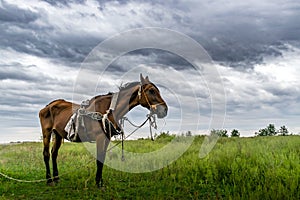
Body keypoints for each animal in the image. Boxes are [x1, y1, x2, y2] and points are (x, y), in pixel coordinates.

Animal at [37, 74, 168, 187]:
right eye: (151, 91)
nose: (165, 110)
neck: (108, 111)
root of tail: (48, 106)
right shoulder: (100, 137)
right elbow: (99, 159)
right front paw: (98, 183)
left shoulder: (106, 137)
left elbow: (103, 158)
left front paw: (100, 181)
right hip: (47, 133)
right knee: (46, 154)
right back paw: (49, 180)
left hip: (58, 135)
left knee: (54, 153)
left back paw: (56, 178)